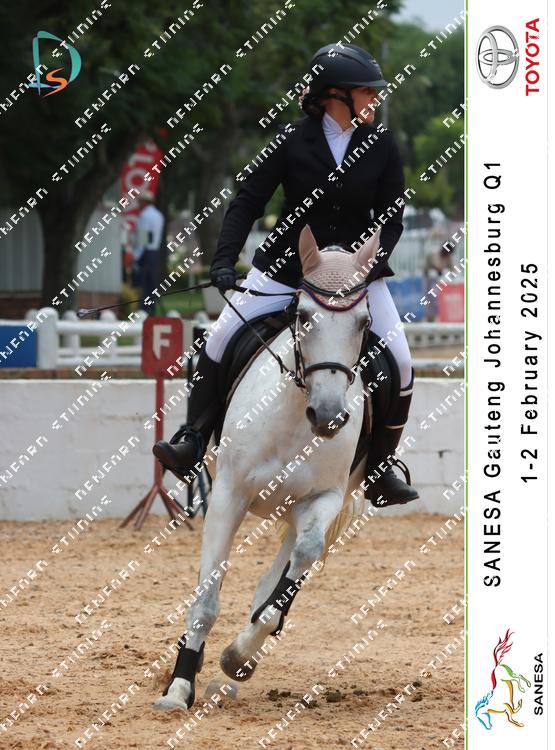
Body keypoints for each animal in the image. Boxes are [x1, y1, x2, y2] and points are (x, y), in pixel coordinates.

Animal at [154, 225, 383, 710]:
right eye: (305, 316)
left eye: (364, 323)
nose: (329, 416)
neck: (295, 415)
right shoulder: (227, 496)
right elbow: (206, 601)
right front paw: (179, 687)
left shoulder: (326, 498)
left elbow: (299, 565)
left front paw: (238, 653)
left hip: (304, 507)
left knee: (284, 568)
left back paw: (244, 653)